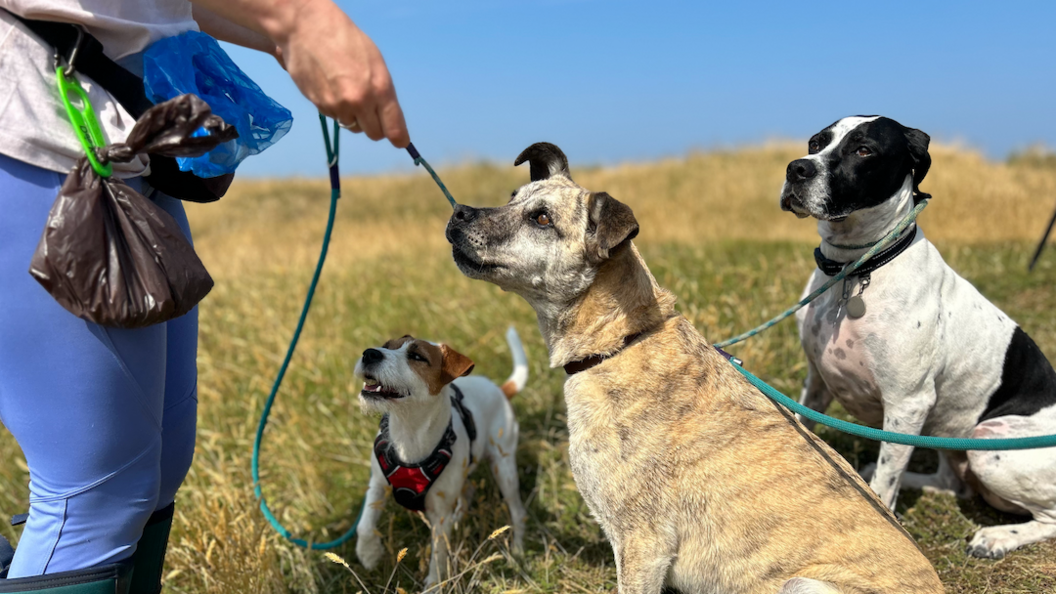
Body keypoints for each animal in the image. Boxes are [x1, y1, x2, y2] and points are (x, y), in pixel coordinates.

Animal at [354, 325, 528, 587]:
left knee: (516, 511)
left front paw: (433, 586)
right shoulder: (377, 484)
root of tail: (500, 390)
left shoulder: (439, 513)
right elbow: (364, 525)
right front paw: (369, 554)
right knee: (468, 492)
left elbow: (438, 557)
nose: (369, 353)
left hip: (504, 468)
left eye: (417, 356)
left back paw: (517, 548)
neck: (409, 433)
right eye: (386, 345)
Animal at [443, 143, 941, 591]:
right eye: (513, 198)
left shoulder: (643, 544)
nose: (459, 214)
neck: (620, 341)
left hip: (802, 586)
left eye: (541, 219)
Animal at [777, 116, 1056, 558]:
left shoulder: (907, 403)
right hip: (948, 429)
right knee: (951, 482)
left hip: (990, 442)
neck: (856, 270)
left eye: (863, 150)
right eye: (816, 142)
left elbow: (884, 483)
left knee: (1049, 518)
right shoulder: (816, 383)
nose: (796, 168)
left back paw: (997, 537)